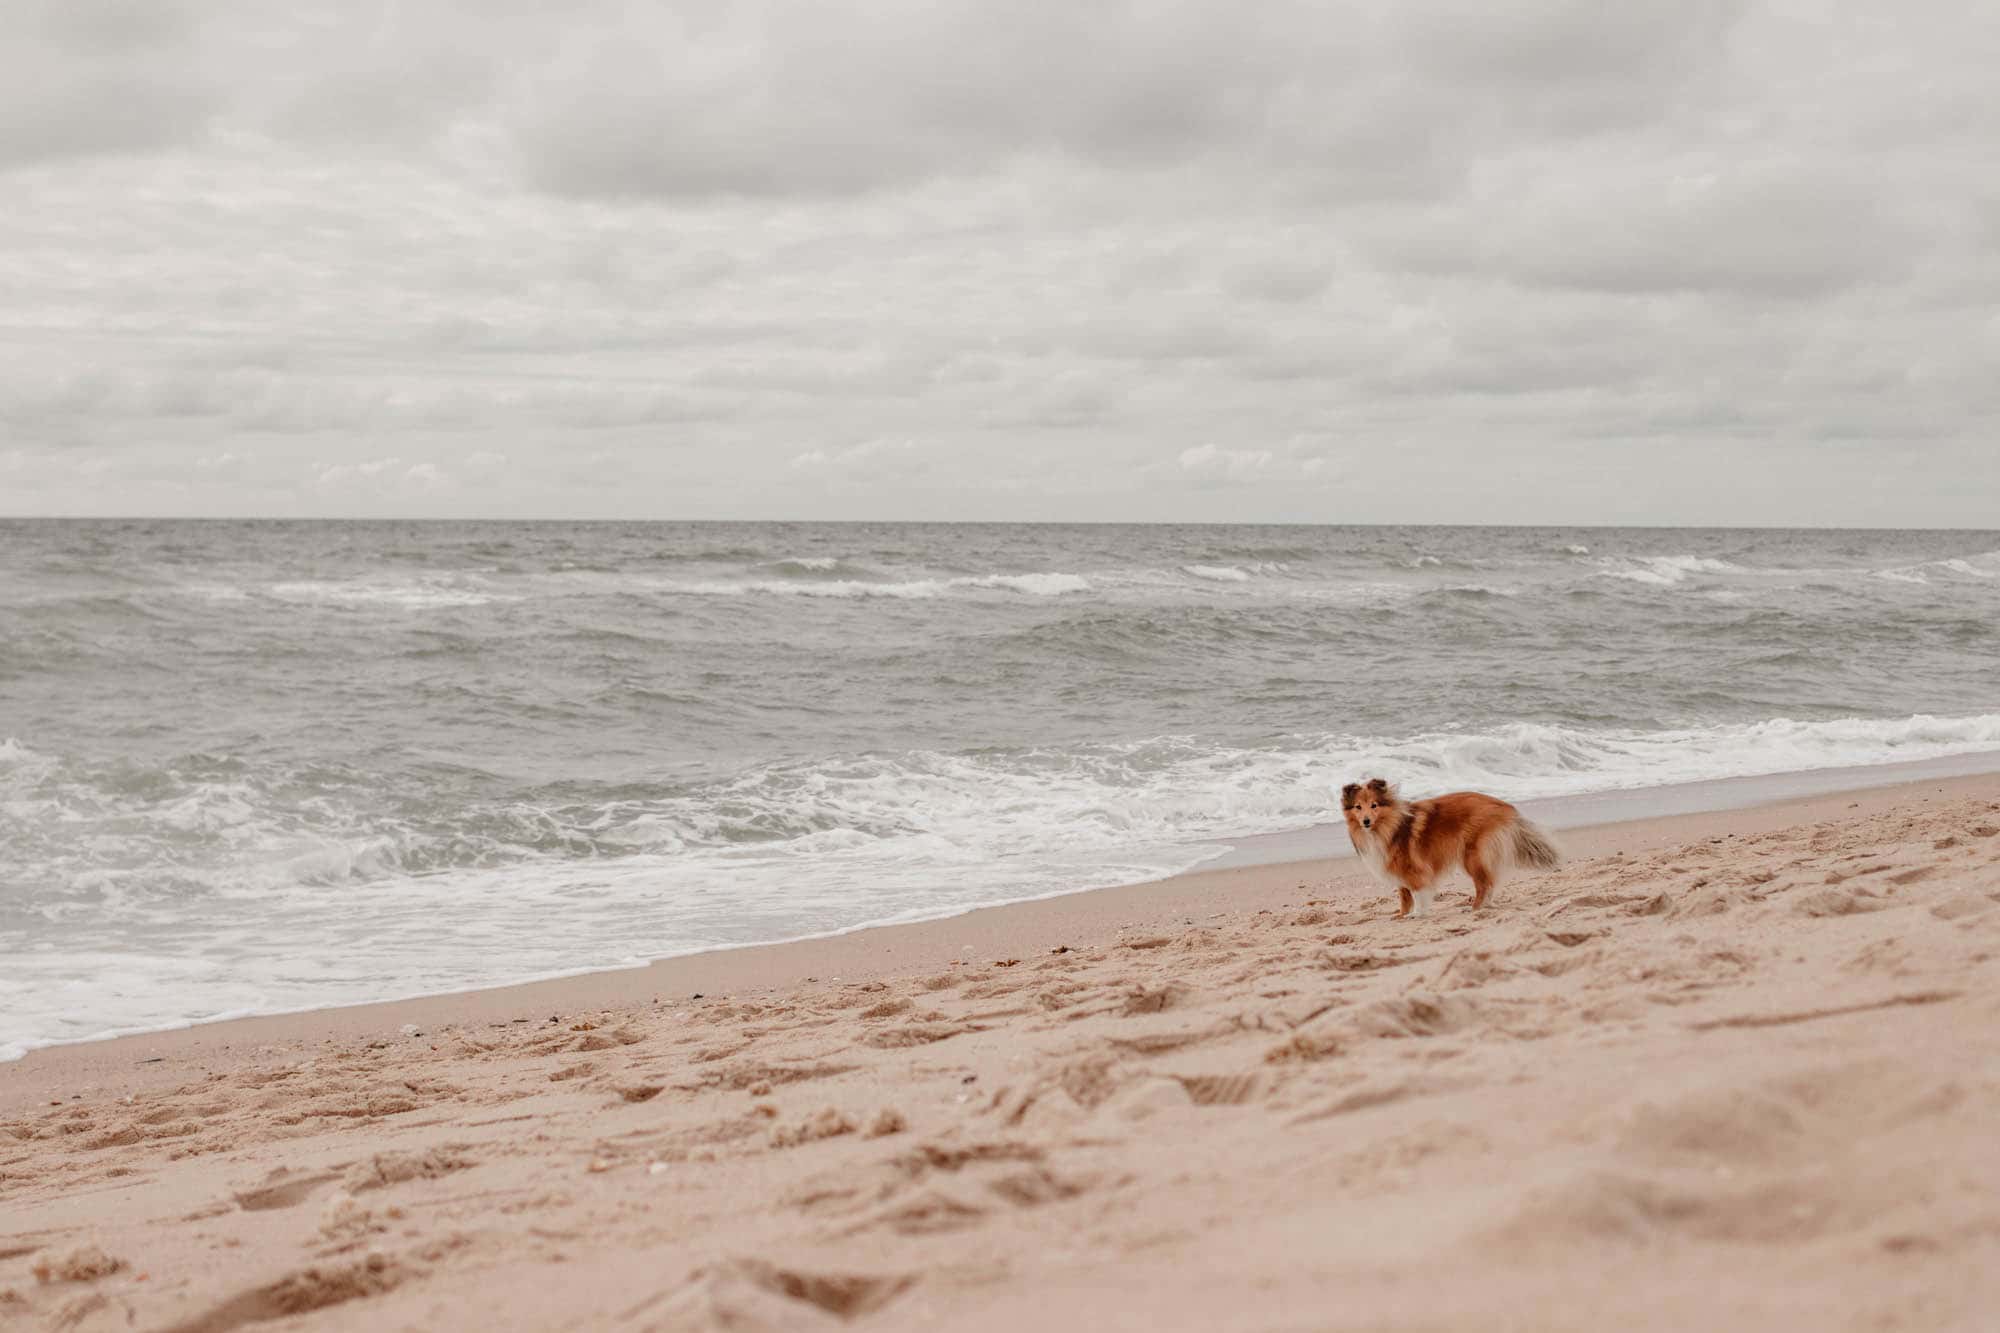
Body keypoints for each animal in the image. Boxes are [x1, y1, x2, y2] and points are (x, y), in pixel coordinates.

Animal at [1344, 780, 1560, 912]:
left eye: (1374, 805)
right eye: (1358, 807)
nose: (1365, 821)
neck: (1388, 827)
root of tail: (1506, 806)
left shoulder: (1415, 871)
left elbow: (1418, 895)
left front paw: (1417, 915)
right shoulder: (1398, 874)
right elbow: (1405, 897)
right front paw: (1402, 916)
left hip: (1472, 855)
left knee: (1484, 884)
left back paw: (1474, 909)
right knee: (1490, 883)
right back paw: (1484, 907)